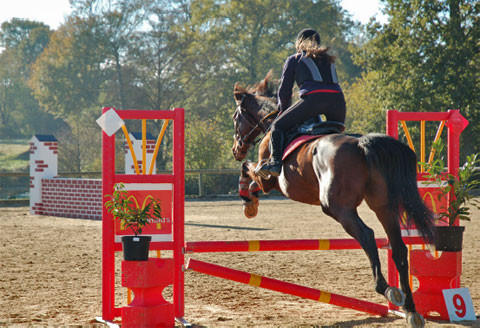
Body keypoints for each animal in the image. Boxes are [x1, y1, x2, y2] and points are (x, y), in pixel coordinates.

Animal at [232, 73, 436, 326]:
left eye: (235, 117)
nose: (236, 149)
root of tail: (361, 144)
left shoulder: (268, 178)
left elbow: (248, 171)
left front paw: (248, 202)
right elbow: (249, 174)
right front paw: (250, 202)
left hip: (338, 208)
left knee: (367, 235)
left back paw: (388, 290)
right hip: (382, 205)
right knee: (397, 247)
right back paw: (410, 310)